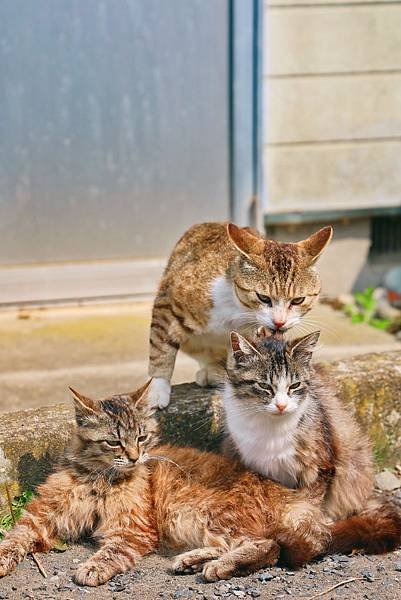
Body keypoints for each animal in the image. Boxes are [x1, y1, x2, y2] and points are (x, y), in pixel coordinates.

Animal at [0, 380, 396, 584]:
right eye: (114, 441)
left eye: (142, 437)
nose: (135, 457)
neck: (102, 478)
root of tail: (299, 498)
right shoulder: (39, 518)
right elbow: (12, 540)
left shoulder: (132, 529)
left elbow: (111, 551)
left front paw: (94, 566)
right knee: (256, 544)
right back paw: (193, 560)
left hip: (200, 511)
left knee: (267, 546)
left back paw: (219, 566)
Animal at [147, 220, 332, 408]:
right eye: (263, 297)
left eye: (298, 300)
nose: (279, 322)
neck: (236, 307)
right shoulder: (167, 304)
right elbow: (161, 349)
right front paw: (157, 389)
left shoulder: (246, 333)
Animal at [223, 328, 398, 528]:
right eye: (263, 385)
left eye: (295, 385)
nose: (281, 405)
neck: (271, 429)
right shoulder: (262, 468)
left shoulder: (321, 467)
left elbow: (311, 502)